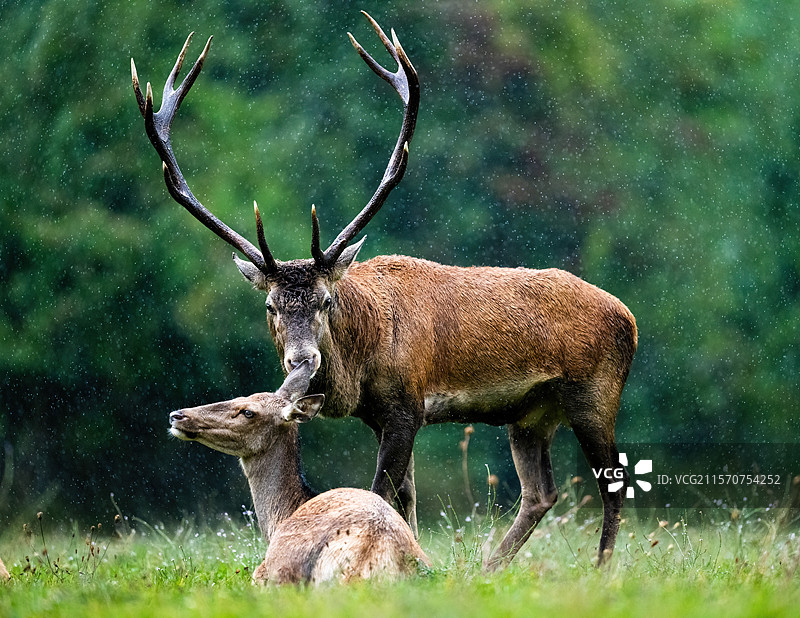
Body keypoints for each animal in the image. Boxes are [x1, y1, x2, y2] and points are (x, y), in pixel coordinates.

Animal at [169, 360, 431, 584]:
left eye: (248, 412)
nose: (177, 415)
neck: (280, 517)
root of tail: (373, 554)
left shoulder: (262, 572)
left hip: (283, 565)